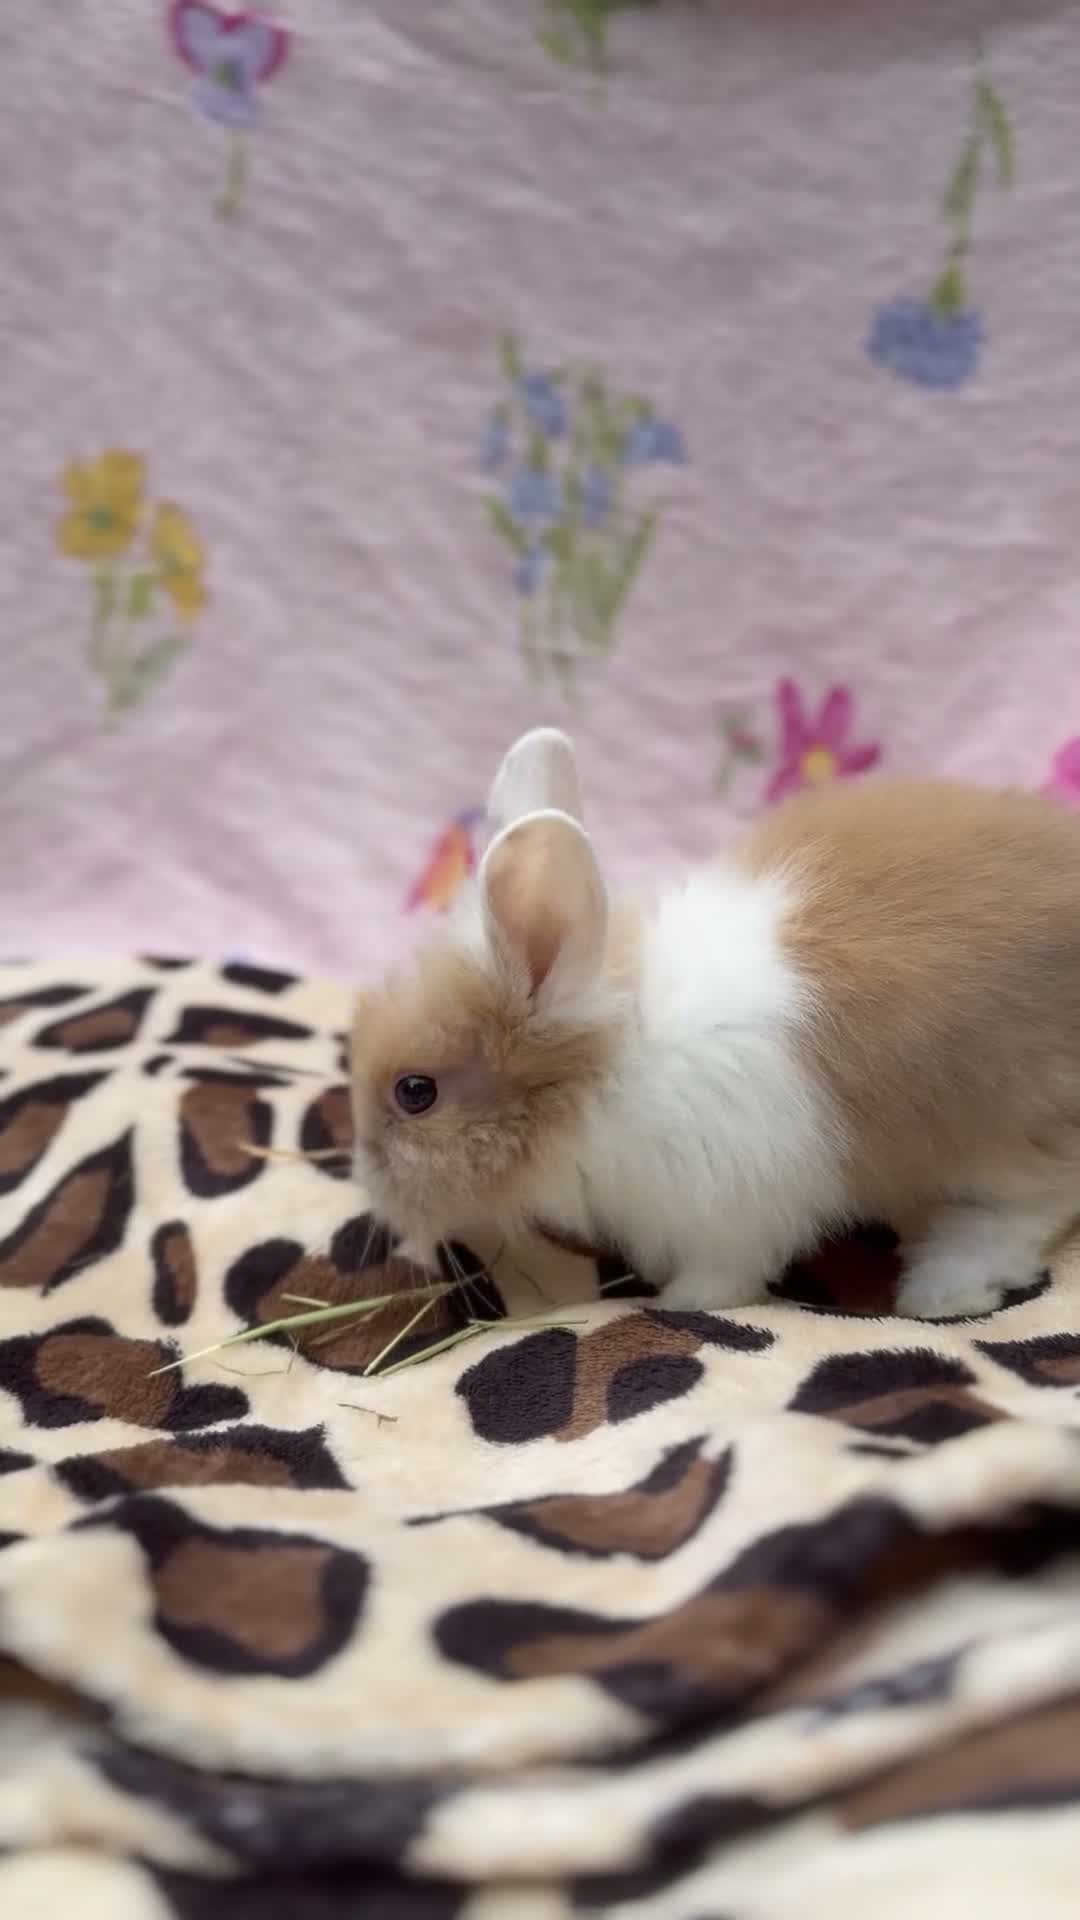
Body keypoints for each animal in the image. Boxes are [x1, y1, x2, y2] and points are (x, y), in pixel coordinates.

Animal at [350, 726, 1080, 1320]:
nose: (372, 1189)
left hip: (1008, 1127)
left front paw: (677, 1303)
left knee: (1033, 1207)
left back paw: (943, 1291)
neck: (608, 1066)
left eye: (415, 1092)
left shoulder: (734, 1214)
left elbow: (724, 1276)